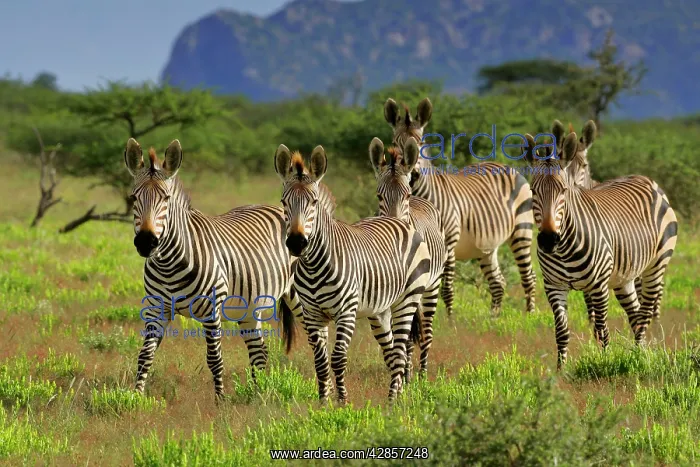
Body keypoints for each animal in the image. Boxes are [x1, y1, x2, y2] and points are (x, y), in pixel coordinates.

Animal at [124, 138, 305, 401]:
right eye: (134, 197)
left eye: (166, 199)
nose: (146, 242)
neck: (168, 264)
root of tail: (276, 208)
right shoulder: (156, 308)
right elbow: (144, 355)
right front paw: (135, 398)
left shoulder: (211, 311)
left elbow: (214, 358)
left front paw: (220, 401)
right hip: (249, 306)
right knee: (259, 350)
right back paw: (259, 393)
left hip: (302, 297)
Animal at [274, 144, 432, 403]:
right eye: (283, 201)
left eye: (314, 202)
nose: (296, 243)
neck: (314, 265)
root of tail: (398, 221)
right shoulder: (312, 314)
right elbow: (320, 362)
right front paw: (323, 404)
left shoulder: (346, 312)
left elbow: (338, 359)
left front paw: (342, 402)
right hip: (380, 310)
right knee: (391, 352)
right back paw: (397, 395)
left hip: (407, 300)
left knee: (400, 351)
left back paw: (393, 401)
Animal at [369, 135, 447, 379]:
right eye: (378, 195)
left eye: (406, 194)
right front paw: (401, 370)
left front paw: (407, 374)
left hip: (433, 284)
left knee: (427, 330)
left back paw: (422, 374)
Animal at [384, 97, 537, 316]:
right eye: (395, 143)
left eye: (421, 143)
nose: (412, 175)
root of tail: (507, 167)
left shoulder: (448, 242)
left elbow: (446, 289)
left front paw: (450, 321)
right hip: (486, 246)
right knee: (498, 282)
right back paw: (494, 319)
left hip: (521, 232)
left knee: (529, 277)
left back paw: (530, 315)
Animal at [523, 131, 678, 369]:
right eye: (533, 191)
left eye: (563, 191)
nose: (548, 240)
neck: (565, 250)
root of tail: (646, 179)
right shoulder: (553, 286)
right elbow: (562, 331)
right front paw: (560, 370)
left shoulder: (598, 286)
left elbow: (602, 329)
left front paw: (604, 363)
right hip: (624, 278)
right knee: (635, 315)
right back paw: (638, 354)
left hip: (655, 267)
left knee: (644, 315)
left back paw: (639, 358)